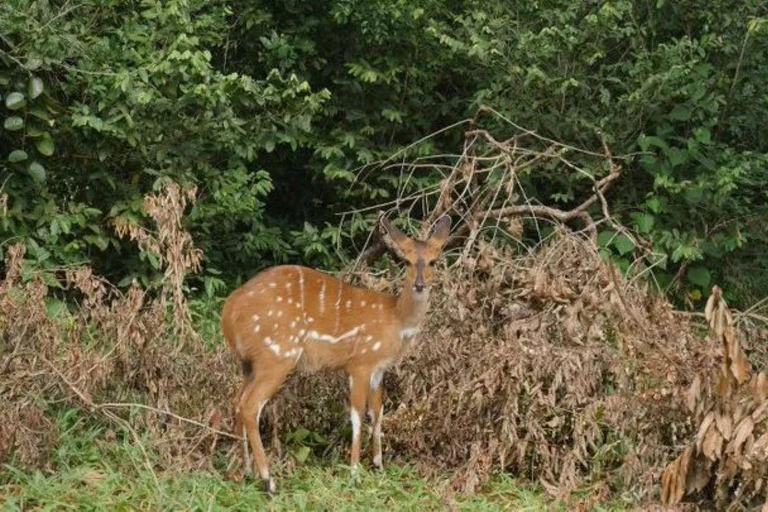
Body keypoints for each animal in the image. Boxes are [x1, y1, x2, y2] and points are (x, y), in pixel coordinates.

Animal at [220, 215, 450, 492]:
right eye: (405, 260)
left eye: (433, 260)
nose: (420, 284)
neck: (395, 320)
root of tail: (229, 311)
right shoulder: (360, 362)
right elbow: (358, 414)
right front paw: (354, 472)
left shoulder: (379, 368)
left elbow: (378, 411)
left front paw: (378, 465)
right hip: (276, 355)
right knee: (250, 406)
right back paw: (268, 481)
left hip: (249, 363)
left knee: (237, 401)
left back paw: (246, 471)